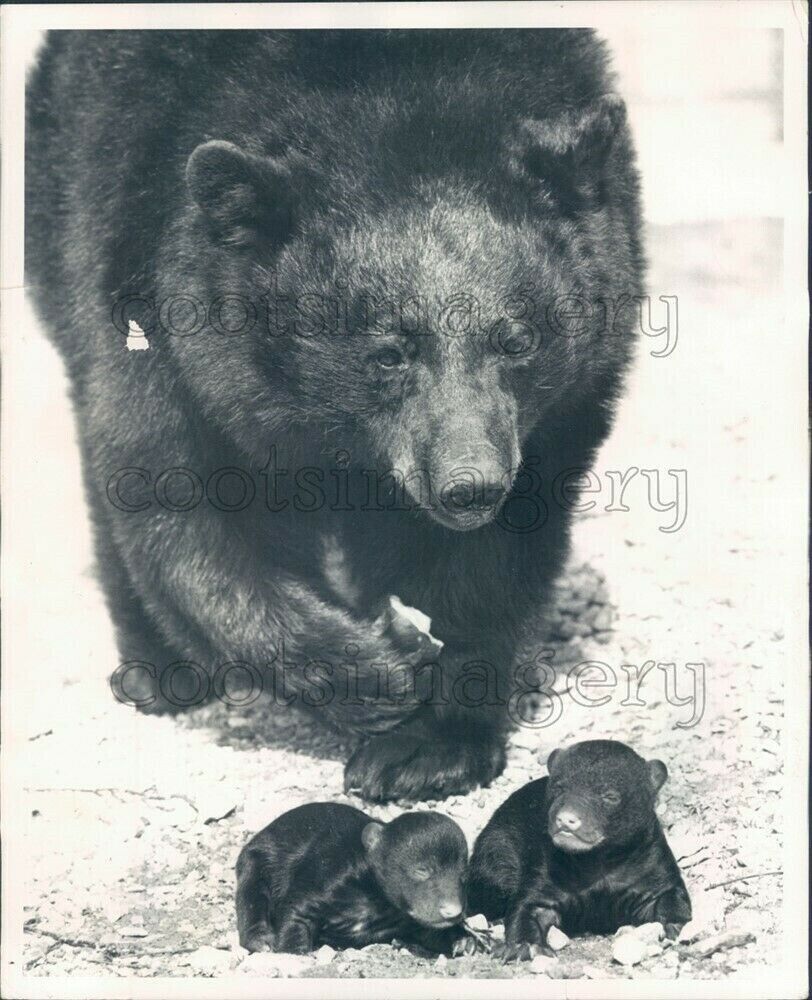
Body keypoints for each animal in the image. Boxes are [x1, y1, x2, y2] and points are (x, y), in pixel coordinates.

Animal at [25, 29, 644, 796]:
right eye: (388, 352)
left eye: (517, 340)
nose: (469, 486)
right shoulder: (148, 280)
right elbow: (179, 505)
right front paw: (377, 671)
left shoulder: (566, 397)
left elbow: (502, 550)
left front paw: (431, 745)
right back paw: (160, 674)